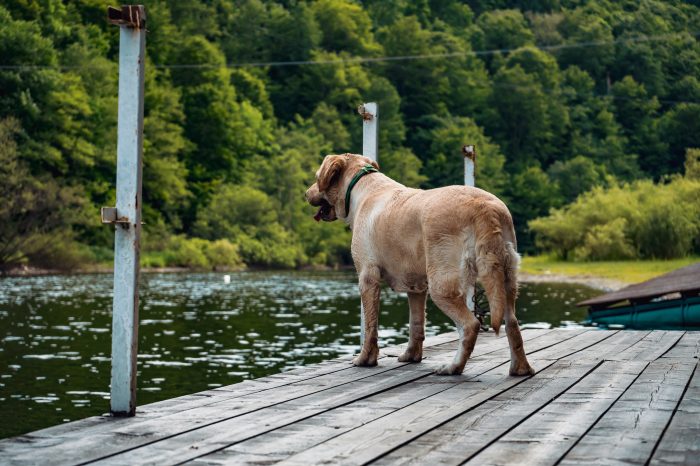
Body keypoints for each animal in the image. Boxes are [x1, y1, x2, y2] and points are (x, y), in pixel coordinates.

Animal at [304, 153, 532, 374]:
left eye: (316, 177)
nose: (306, 193)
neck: (360, 187)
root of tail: (485, 208)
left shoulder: (367, 277)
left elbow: (370, 326)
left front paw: (365, 359)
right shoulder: (416, 286)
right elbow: (416, 324)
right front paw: (411, 356)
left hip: (442, 284)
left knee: (470, 325)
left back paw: (453, 367)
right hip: (506, 276)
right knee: (512, 323)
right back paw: (520, 368)